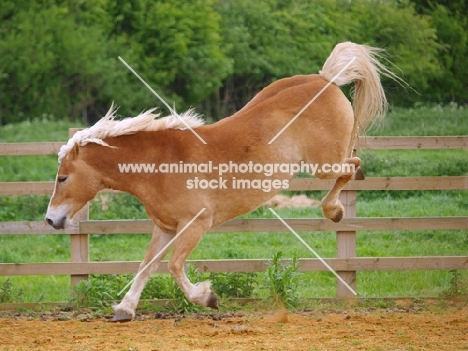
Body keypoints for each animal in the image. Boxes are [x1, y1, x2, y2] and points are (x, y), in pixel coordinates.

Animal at [46, 41, 398, 322]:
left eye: (62, 177)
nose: (51, 220)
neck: (159, 164)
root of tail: (326, 79)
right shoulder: (165, 228)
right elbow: (147, 265)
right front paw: (124, 309)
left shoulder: (196, 224)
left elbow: (174, 267)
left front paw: (208, 298)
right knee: (351, 168)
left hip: (323, 164)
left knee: (351, 166)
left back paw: (335, 210)